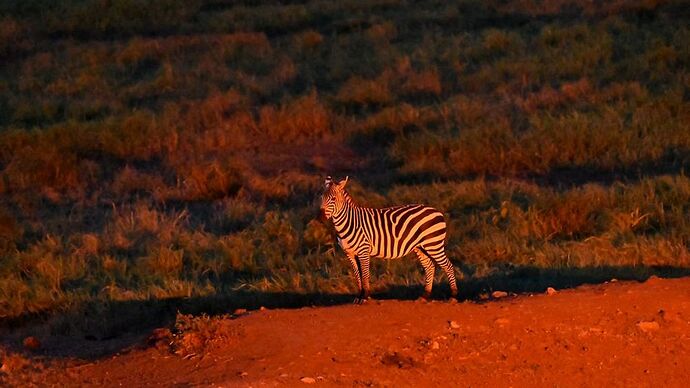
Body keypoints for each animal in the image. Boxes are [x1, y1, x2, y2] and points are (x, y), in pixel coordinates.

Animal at [320, 175, 460, 304]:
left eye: (333, 199)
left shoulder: (363, 251)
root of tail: (437, 211)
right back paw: (425, 296)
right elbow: (357, 275)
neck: (350, 222)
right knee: (429, 266)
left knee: (448, 266)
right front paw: (359, 296)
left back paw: (453, 296)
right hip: (420, 247)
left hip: (433, 245)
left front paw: (365, 297)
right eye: (321, 198)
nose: (320, 217)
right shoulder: (349, 253)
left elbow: (364, 274)